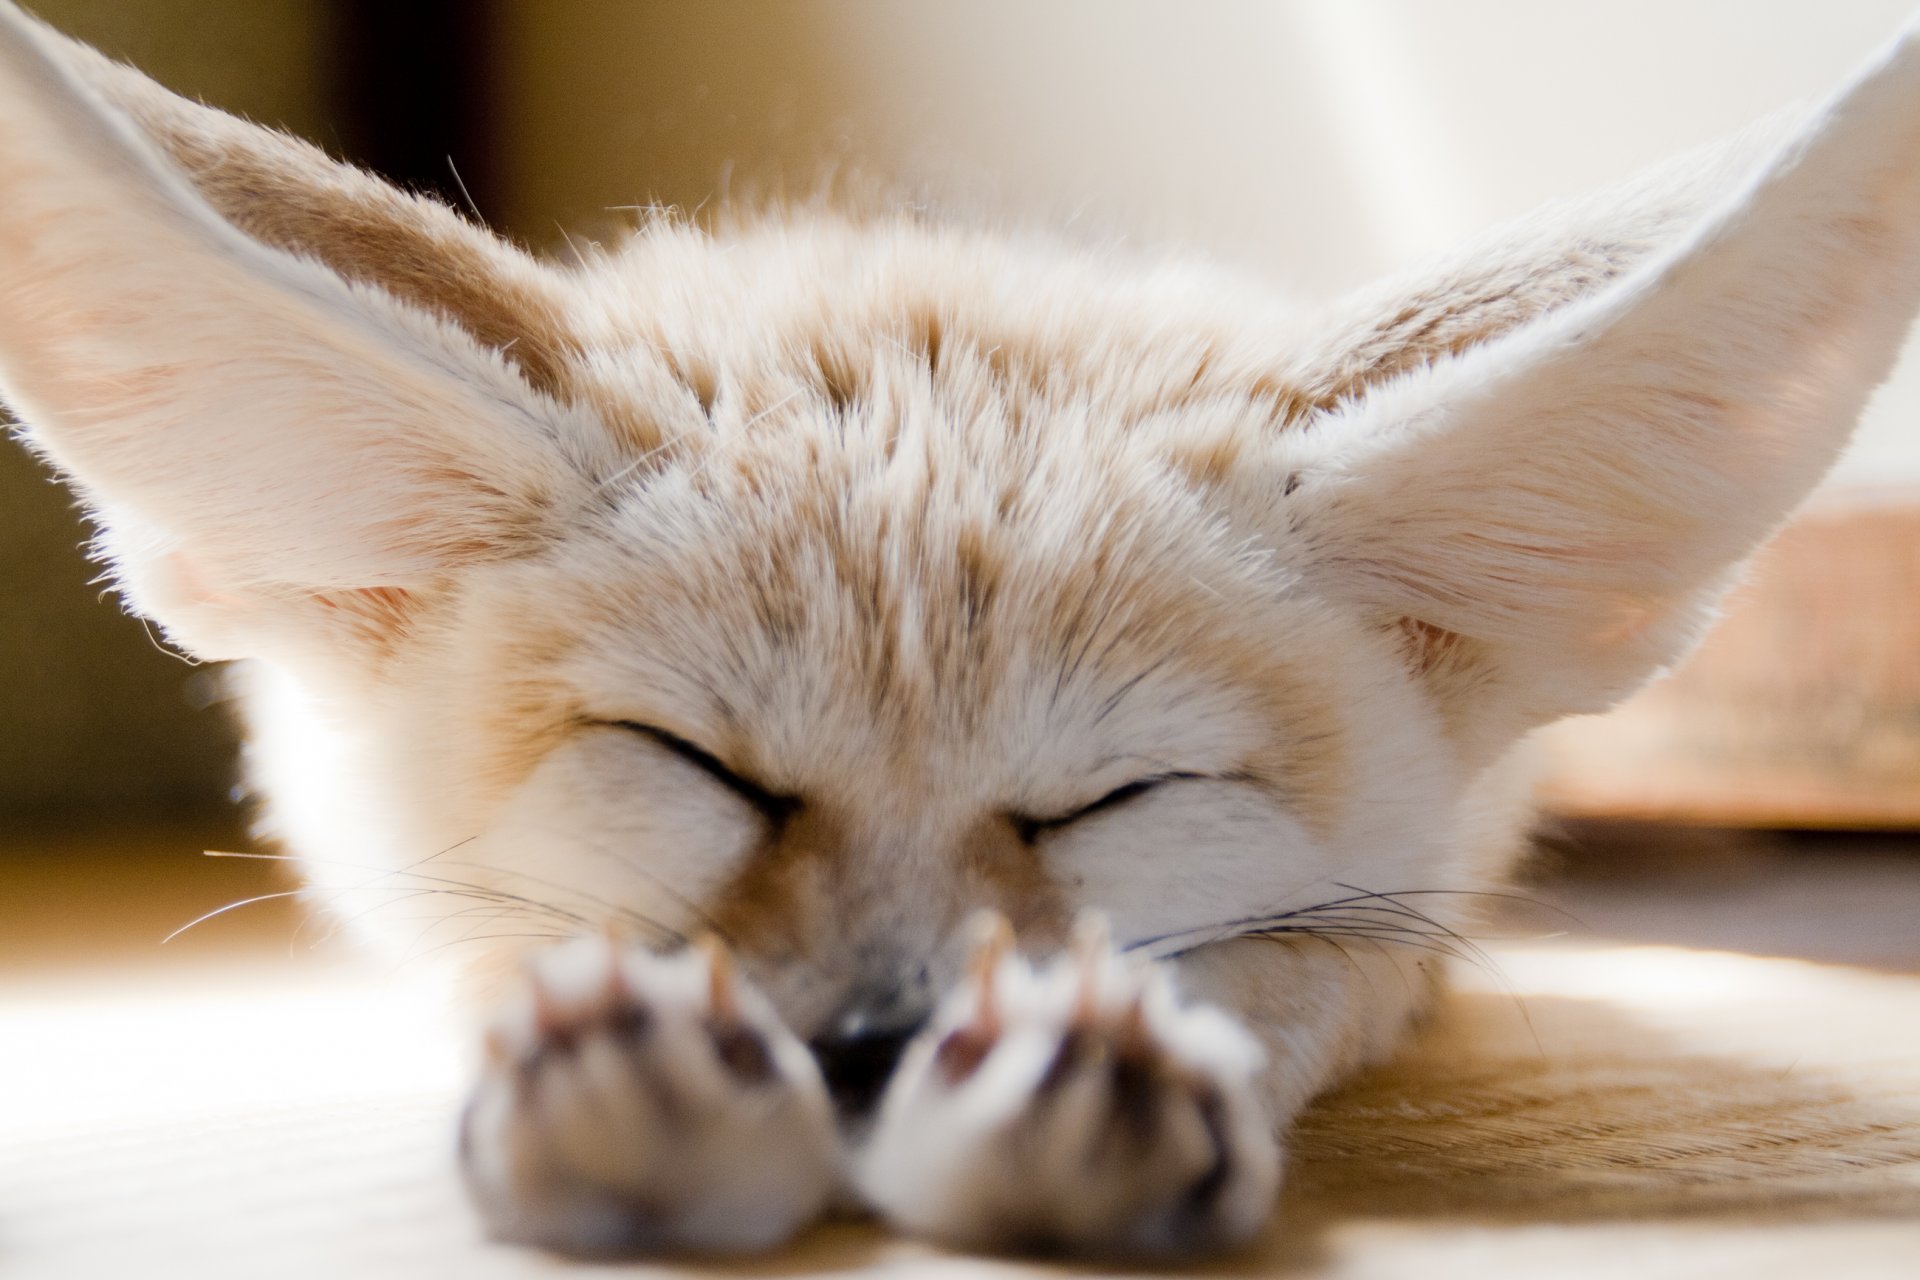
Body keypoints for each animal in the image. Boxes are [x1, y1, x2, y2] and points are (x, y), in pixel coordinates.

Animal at [4, 0, 1920, 1259]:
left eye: (1116, 800)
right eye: (694, 766)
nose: (864, 1053)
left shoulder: (1420, 905)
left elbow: (1300, 967)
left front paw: (1102, 1085)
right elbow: (491, 943)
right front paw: (626, 1077)